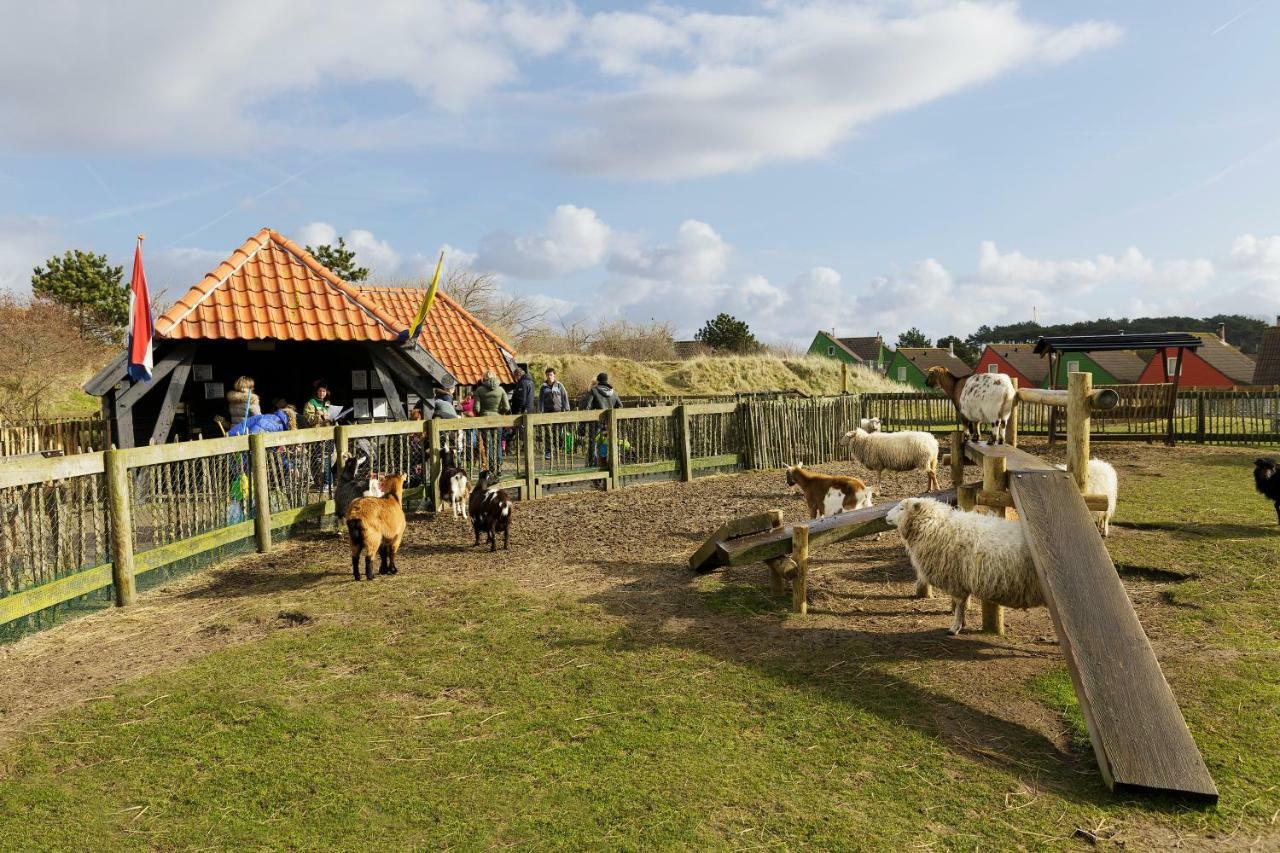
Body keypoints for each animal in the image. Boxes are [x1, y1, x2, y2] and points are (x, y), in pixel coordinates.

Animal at [885, 491, 1044, 630]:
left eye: (901, 508)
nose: (886, 516)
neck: (936, 527)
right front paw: (961, 624)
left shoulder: (956, 580)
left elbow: (959, 604)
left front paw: (955, 627)